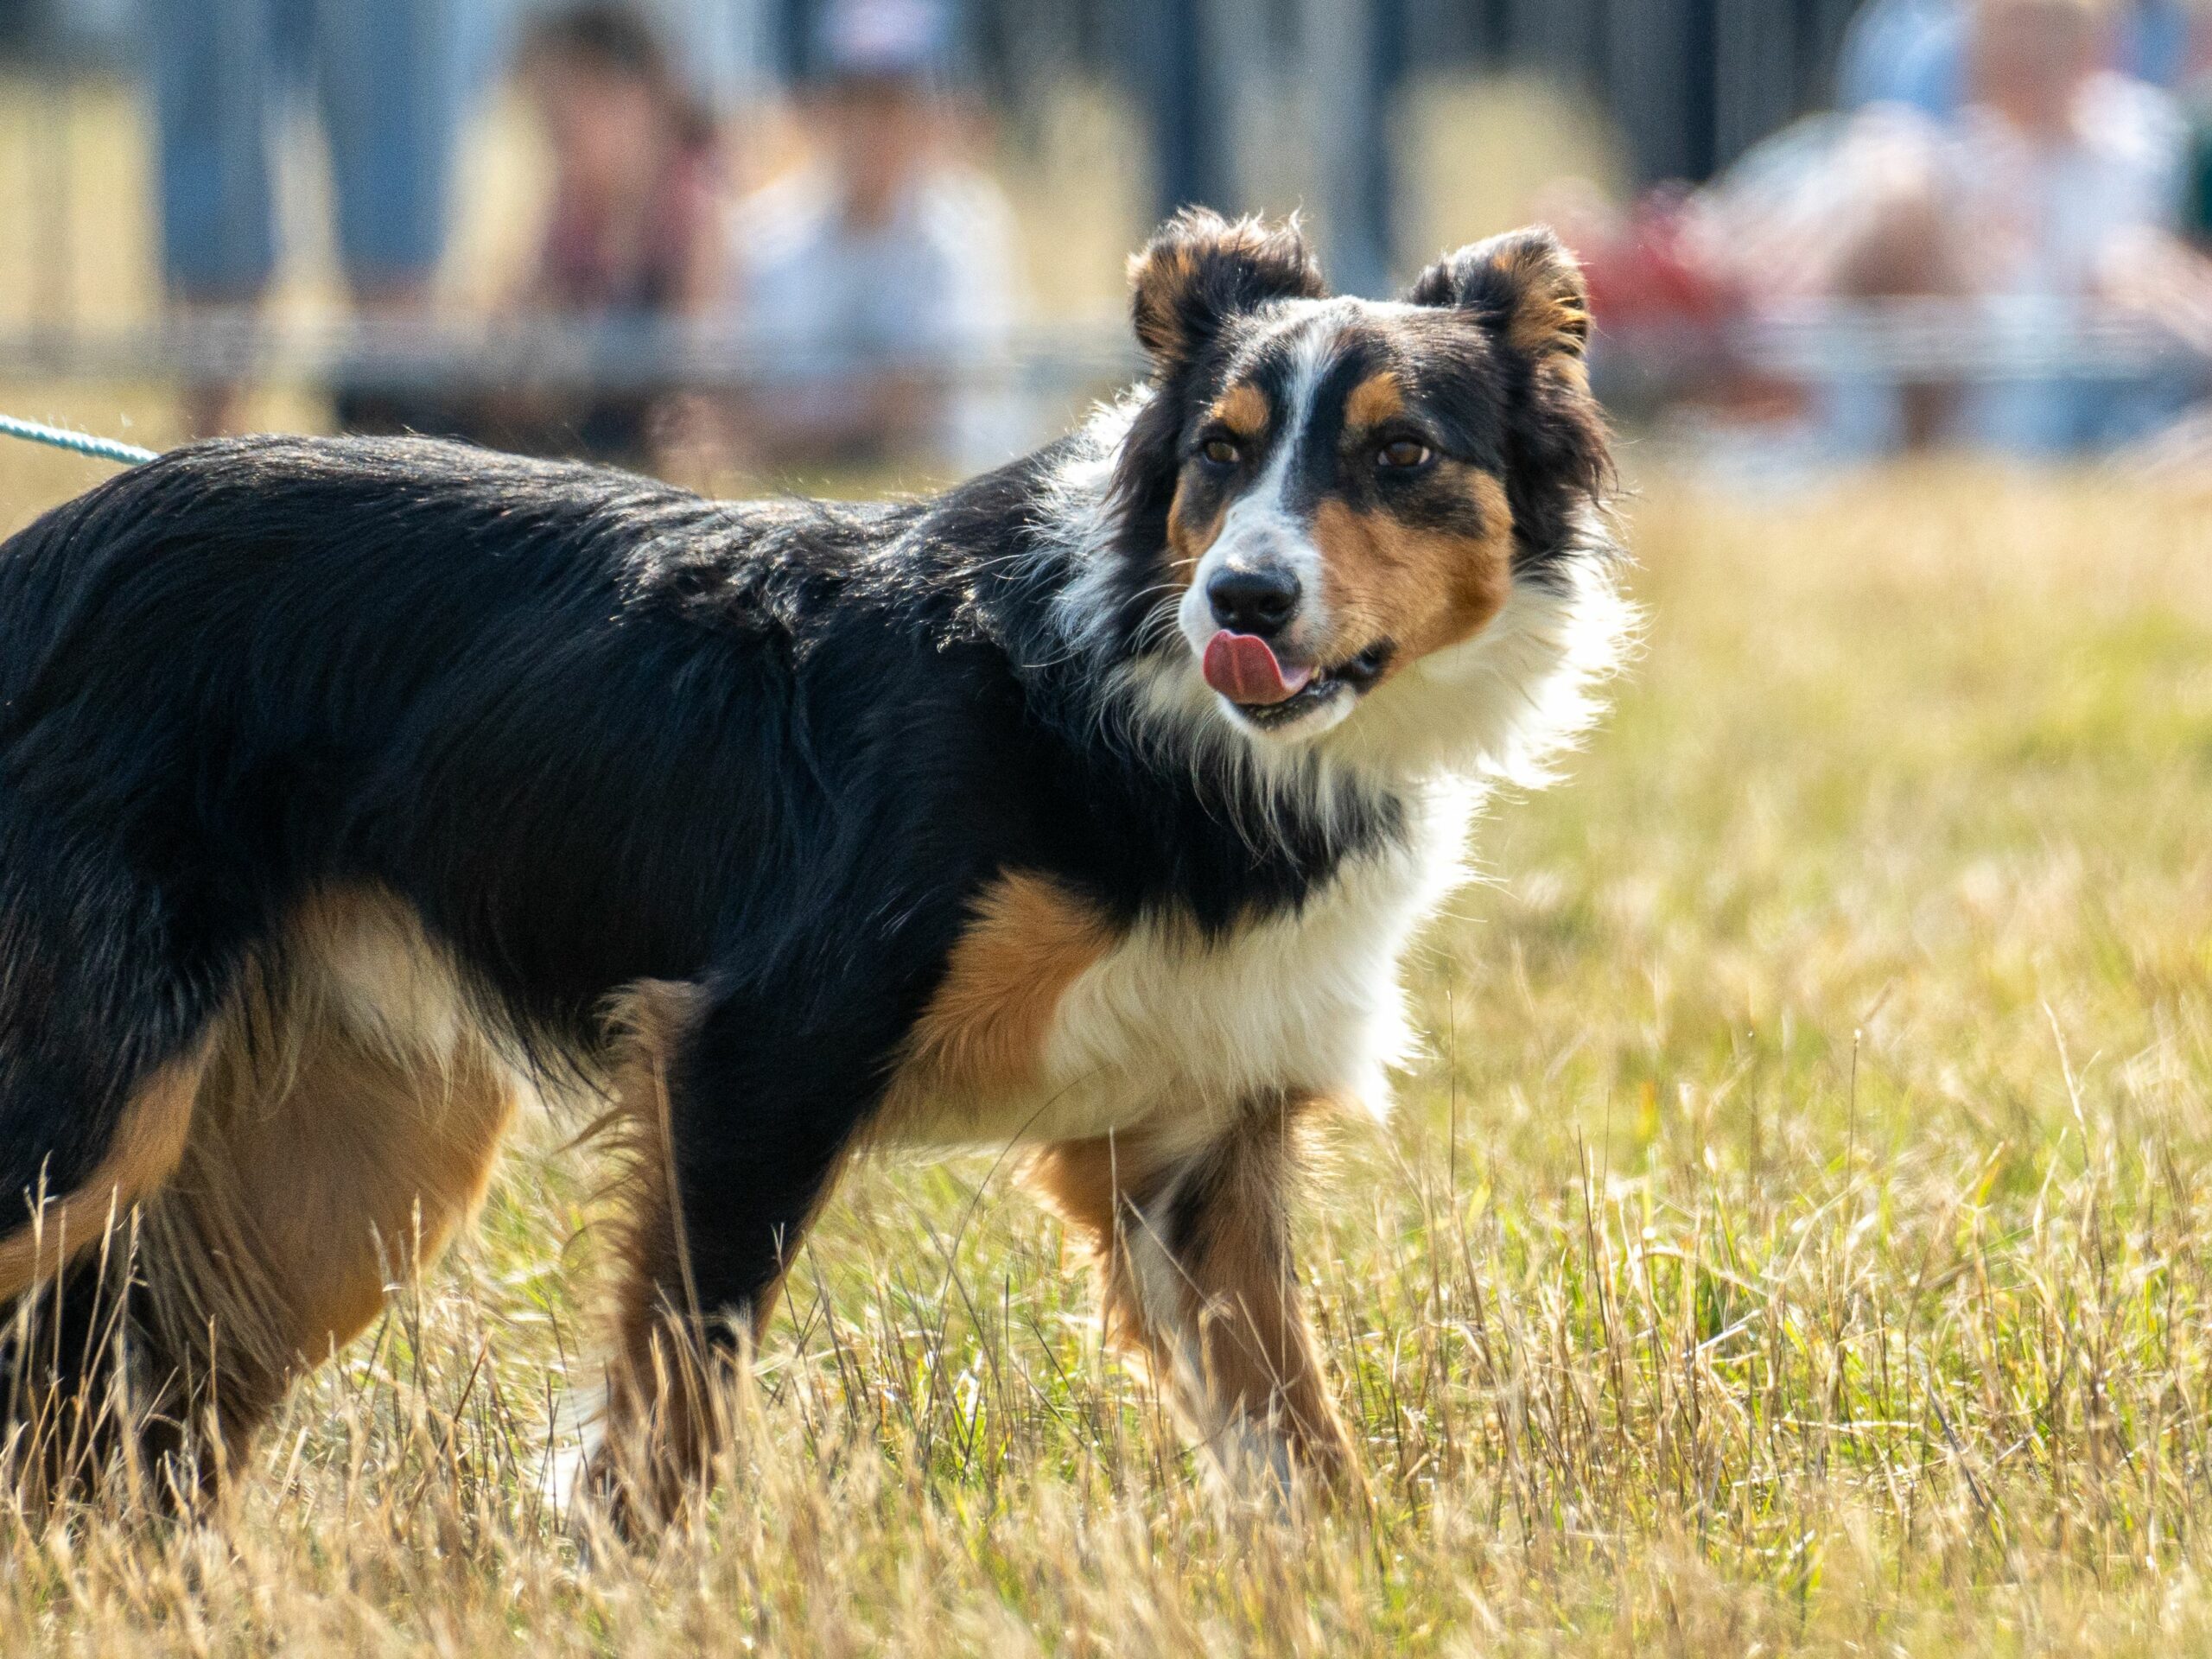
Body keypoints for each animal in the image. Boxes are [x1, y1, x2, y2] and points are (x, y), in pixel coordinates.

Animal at [0, 211, 1628, 1522]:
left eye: (1401, 456)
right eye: (1220, 456)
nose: (1242, 598)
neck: (1127, 697)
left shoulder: (1192, 1147)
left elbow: (1298, 1440)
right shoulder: (762, 1045)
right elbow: (677, 1394)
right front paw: (624, 1579)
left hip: (352, 1165)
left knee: (114, 1440)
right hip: (95, 1117)